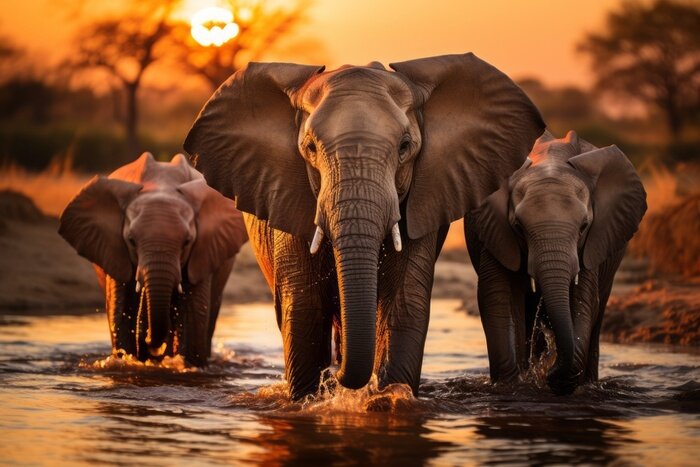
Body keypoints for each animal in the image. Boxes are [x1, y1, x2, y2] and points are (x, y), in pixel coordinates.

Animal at [59, 152, 247, 366]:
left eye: (187, 242)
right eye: (131, 240)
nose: (149, 341)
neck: (161, 186)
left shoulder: (202, 251)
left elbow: (194, 313)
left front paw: (185, 363)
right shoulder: (115, 251)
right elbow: (119, 310)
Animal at [184, 53, 545, 399]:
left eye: (404, 147)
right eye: (310, 148)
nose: (336, 379)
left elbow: (405, 303)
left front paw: (387, 399)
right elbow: (304, 307)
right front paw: (309, 400)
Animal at [466, 131, 647, 394]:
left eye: (583, 227)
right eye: (519, 227)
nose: (547, 371)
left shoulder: (593, 241)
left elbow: (582, 301)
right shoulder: (494, 230)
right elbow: (498, 297)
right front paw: (513, 386)